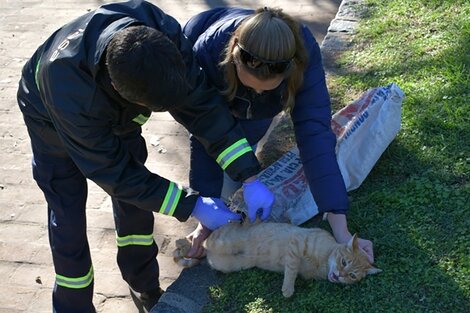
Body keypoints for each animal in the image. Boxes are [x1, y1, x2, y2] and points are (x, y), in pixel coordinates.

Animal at [173, 221, 382, 296]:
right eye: (344, 262)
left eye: (353, 276)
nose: (340, 276)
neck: (322, 263)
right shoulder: (297, 244)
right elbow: (292, 268)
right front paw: (288, 289)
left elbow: (293, 269)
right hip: (223, 241)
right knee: (205, 241)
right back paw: (183, 243)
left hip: (228, 264)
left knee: (206, 250)